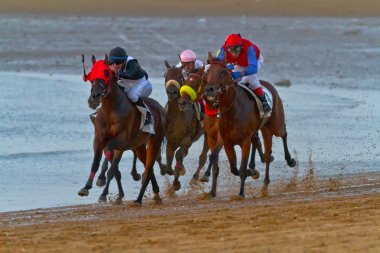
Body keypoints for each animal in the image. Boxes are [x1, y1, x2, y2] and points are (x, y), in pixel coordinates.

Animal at [77, 56, 166, 205]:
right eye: (91, 74)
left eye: (106, 74)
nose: (94, 97)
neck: (111, 110)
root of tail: (161, 109)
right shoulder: (99, 139)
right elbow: (96, 162)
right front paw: (86, 187)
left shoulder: (121, 140)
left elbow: (110, 166)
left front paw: (101, 181)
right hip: (139, 146)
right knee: (148, 167)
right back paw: (155, 192)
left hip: (155, 140)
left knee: (148, 169)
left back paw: (139, 199)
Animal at [163, 60, 209, 190]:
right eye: (165, 75)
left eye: (179, 76)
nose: (172, 92)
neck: (177, 116)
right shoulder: (170, 140)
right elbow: (169, 161)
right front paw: (174, 170)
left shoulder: (188, 138)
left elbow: (178, 155)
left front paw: (176, 181)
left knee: (203, 156)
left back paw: (195, 176)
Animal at [179, 66, 270, 197]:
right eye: (185, 81)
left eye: (196, 83)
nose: (182, 102)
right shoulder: (210, 134)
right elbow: (213, 160)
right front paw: (211, 188)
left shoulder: (222, 137)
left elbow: (213, 155)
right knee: (256, 140)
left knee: (255, 141)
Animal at [203, 52, 296, 198]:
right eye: (207, 72)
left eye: (222, 72)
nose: (209, 89)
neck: (232, 110)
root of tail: (270, 86)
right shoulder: (227, 142)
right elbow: (233, 168)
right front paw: (251, 172)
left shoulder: (244, 142)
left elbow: (241, 168)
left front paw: (241, 193)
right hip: (263, 129)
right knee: (265, 150)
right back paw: (264, 182)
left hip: (276, 125)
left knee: (283, 134)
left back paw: (290, 160)